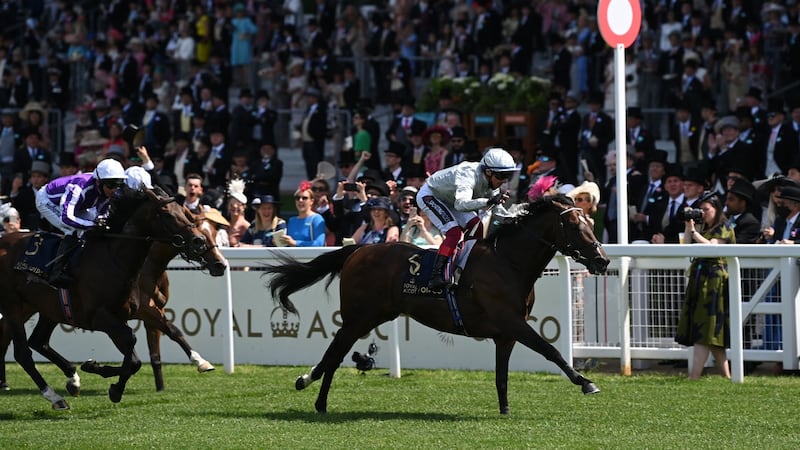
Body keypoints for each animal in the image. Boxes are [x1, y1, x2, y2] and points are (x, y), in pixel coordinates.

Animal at [0, 185, 227, 410]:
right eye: (167, 214)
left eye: (186, 214)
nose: (219, 263)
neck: (115, 260)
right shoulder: (103, 317)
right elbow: (136, 346)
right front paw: (111, 384)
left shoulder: (127, 315)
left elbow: (153, 344)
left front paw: (96, 370)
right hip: (13, 305)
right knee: (22, 353)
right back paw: (53, 396)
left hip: (46, 307)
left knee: (38, 341)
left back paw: (72, 380)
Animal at [266, 195, 608, 414]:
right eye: (575, 226)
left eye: (591, 222)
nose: (602, 260)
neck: (508, 263)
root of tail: (358, 250)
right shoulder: (513, 323)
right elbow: (551, 351)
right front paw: (585, 382)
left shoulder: (506, 334)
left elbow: (502, 375)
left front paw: (505, 410)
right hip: (358, 317)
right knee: (336, 353)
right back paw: (318, 399)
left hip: (374, 315)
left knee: (334, 352)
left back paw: (307, 383)